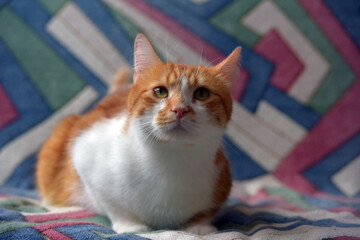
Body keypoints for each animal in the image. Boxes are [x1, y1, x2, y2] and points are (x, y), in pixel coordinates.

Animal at [35, 33, 242, 234]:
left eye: (202, 94)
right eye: (160, 91)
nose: (179, 109)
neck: (170, 162)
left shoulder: (221, 181)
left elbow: (204, 213)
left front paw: (199, 226)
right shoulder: (84, 153)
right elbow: (114, 205)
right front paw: (130, 225)